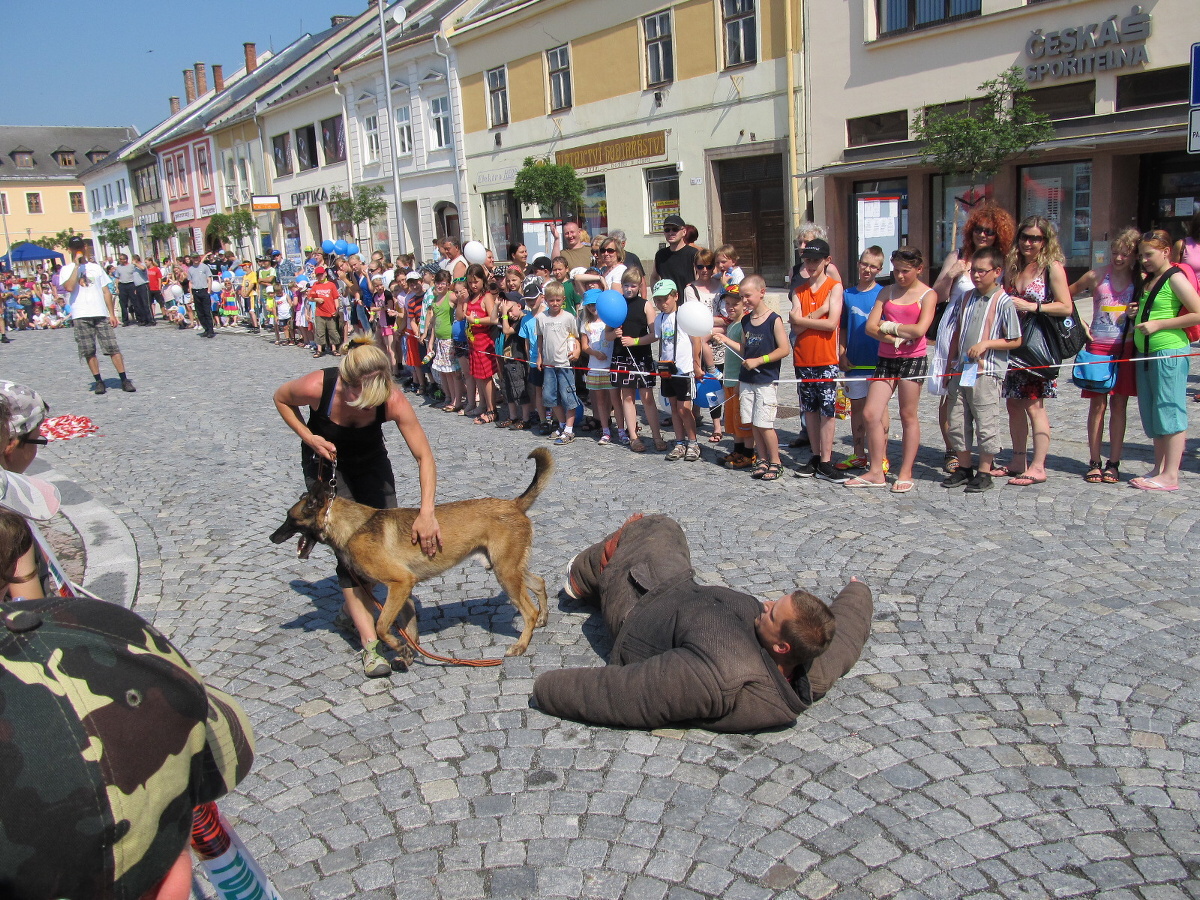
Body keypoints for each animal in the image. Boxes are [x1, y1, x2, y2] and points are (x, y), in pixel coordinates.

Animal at [271, 448, 553, 665]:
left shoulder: (400, 583)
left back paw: (521, 645)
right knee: (539, 582)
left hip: (505, 574)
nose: (272, 537)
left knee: (528, 610)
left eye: (289, 518)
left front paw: (399, 647)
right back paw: (542, 618)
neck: (353, 527)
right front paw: (407, 651)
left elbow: (381, 627)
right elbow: (408, 629)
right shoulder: (403, 591)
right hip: (507, 568)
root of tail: (514, 504)